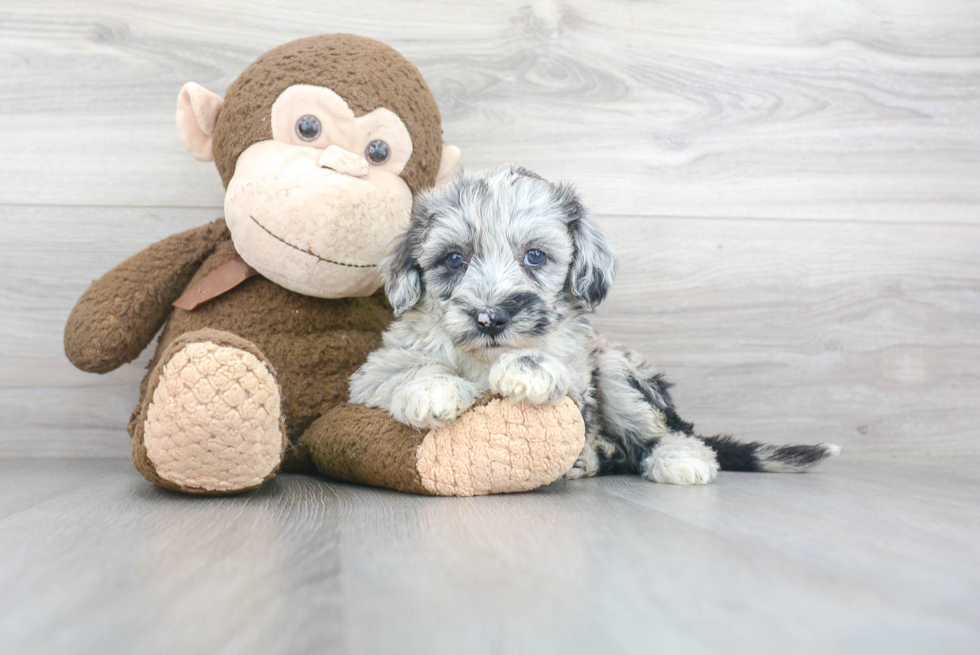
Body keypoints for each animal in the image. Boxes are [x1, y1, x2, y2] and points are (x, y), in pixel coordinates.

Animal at [348, 167, 840, 484]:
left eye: (535, 256)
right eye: (454, 259)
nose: (490, 317)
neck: (486, 356)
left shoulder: (581, 372)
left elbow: (555, 374)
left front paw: (528, 370)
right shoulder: (372, 374)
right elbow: (407, 369)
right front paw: (434, 390)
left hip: (619, 370)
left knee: (664, 433)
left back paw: (678, 459)